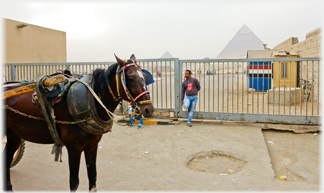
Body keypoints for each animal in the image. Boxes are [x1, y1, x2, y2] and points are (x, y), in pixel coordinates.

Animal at [2, 54, 154, 191]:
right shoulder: (74, 148)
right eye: (130, 78)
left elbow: (93, 178)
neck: (91, 100)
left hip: (14, 135)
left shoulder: (92, 146)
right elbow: (74, 183)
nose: (148, 109)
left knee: (7, 158)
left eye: (145, 77)